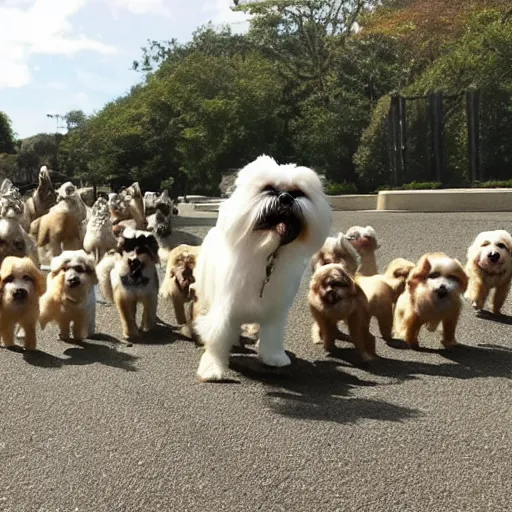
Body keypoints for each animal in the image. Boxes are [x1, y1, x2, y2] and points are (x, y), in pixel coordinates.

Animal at [192, 154, 332, 382]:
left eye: (298, 193)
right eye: (268, 189)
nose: (286, 198)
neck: (267, 252)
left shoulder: (275, 310)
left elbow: (272, 336)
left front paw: (274, 357)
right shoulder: (225, 307)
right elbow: (217, 335)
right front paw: (212, 368)